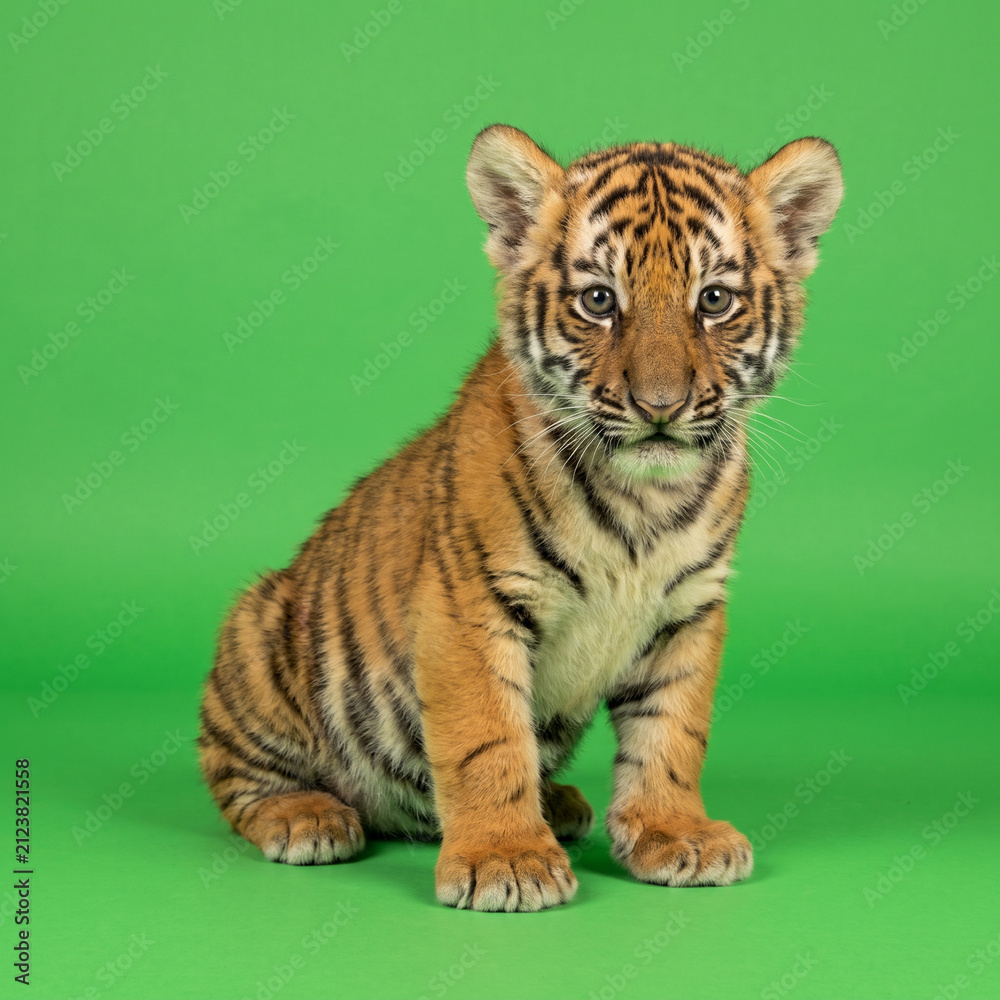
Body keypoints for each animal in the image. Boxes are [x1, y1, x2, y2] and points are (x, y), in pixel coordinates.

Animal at [198, 123, 843, 912]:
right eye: (599, 300)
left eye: (714, 300)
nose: (660, 405)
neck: (644, 497)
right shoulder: (469, 605)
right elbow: (486, 738)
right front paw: (505, 859)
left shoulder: (689, 609)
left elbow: (672, 731)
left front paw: (676, 833)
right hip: (258, 634)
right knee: (237, 776)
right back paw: (307, 818)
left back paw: (559, 803)